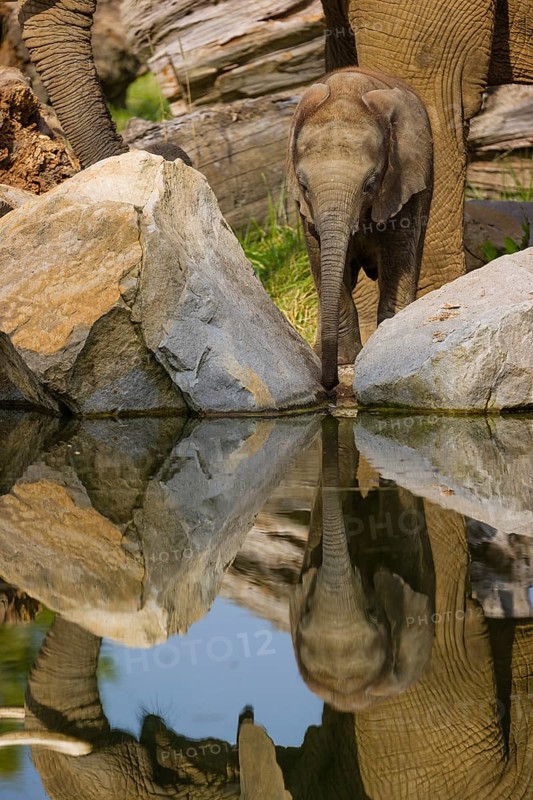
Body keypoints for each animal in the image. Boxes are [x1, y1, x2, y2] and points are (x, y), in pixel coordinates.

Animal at [286, 68, 433, 388]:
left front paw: (386, 352)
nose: (329, 385)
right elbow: (321, 260)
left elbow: (398, 255)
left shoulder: (402, 179)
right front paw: (344, 360)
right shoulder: (306, 213)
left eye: (370, 184)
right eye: (304, 186)